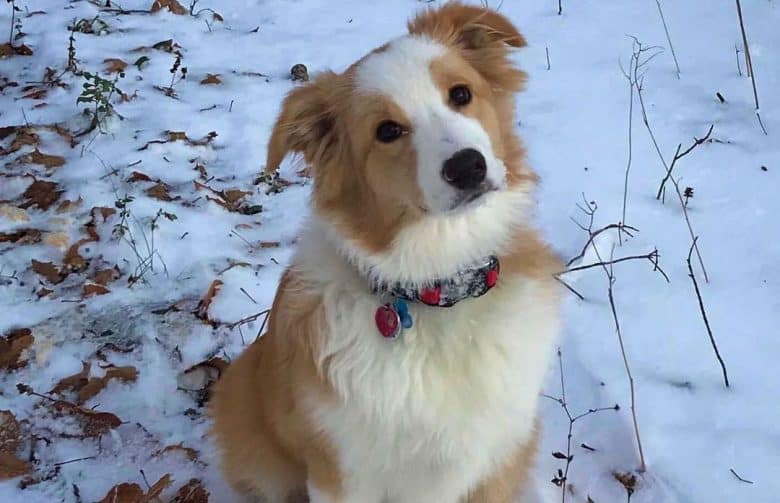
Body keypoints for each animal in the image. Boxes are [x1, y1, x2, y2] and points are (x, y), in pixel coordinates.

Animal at [210, 1, 564, 502]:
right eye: (388, 130)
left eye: (461, 93)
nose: (468, 167)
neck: (438, 287)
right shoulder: (342, 472)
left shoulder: (496, 457)